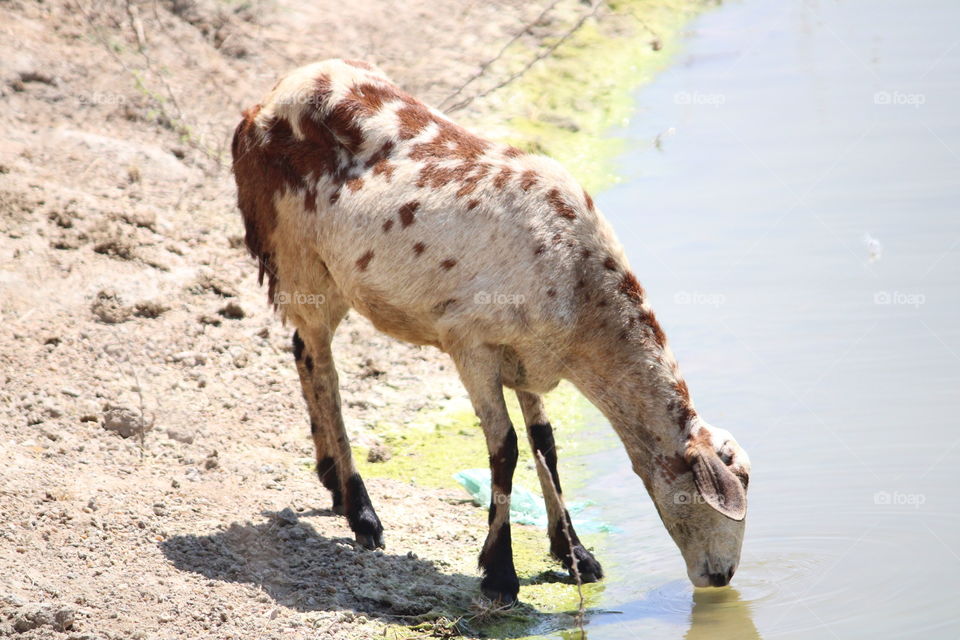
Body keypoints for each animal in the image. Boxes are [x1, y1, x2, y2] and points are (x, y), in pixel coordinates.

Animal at [231, 57, 752, 604]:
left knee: (303, 351)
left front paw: (574, 553)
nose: (721, 576)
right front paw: (500, 573)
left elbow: (545, 443)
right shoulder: (470, 343)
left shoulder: (530, 356)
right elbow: (506, 450)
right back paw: (362, 513)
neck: (585, 306)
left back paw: (332, 483)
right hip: (300, 257)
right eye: (711, 494)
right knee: (322, 366)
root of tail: (264, 102)